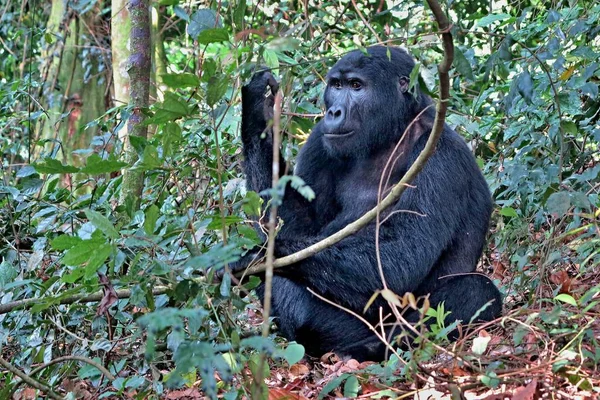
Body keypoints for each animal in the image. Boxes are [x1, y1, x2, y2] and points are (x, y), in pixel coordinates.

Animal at [234, 45, 502, 360]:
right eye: (336, 86)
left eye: (356, 86)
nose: (333, 111)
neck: (391, 133)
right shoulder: (319, 139)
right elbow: (296, 225)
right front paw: (257, 111)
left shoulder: (439, 155)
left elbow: (399, 258)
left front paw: (262, 255)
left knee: (476, 290)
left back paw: (376, 345)